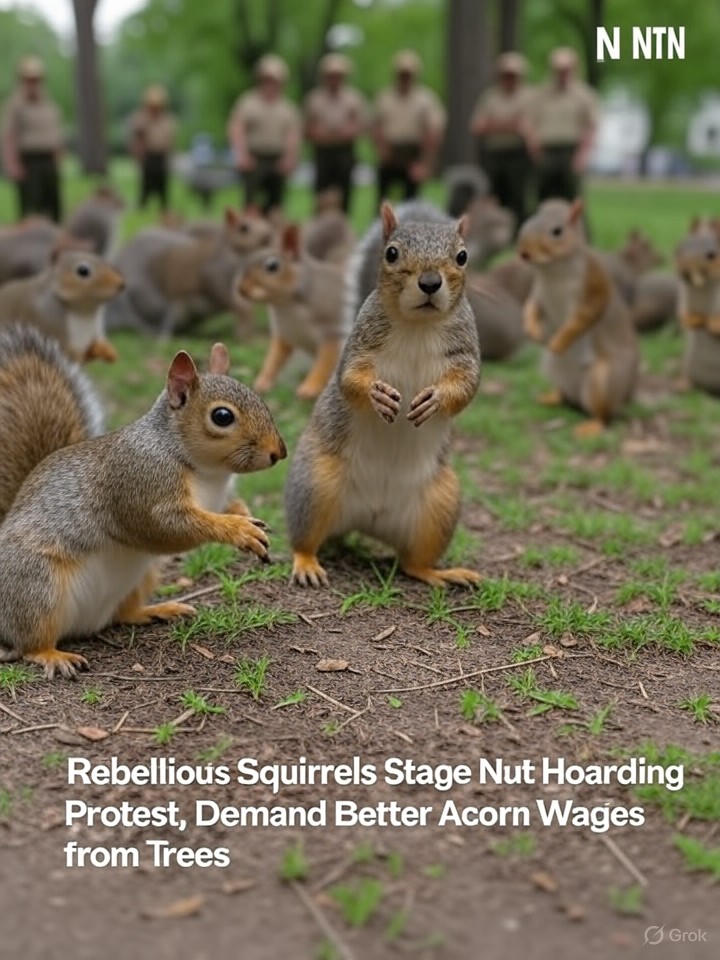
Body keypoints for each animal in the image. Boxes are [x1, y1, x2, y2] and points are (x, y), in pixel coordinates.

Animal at [0, 333, 286, 678]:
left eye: (259, 398)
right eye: (222, 416)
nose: (279, 452)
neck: (209, 472)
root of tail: (83, 624)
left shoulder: (221, 494)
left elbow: (231, 505)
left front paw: (246, 517)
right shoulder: (141, 483)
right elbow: (168, 526)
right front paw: (238, 530)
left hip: (142, 575)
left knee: (122, 614)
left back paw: (157, 610)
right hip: (38, 586)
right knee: (29, 641)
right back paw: (53, 655)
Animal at [237, 223, 347, 399]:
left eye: (272, 266)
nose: (242, 289)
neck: (285, 305)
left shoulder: (331, 329)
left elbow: (324, 362)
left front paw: (309, 387)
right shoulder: (285, 333)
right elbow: (274, 358)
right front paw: (262, 381)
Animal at [285, 202, 480, 589]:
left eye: (462, 256)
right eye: (391, 253)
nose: (430, 282)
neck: (418, 326)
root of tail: (369, 517)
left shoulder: (465, 354)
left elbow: (466, 388)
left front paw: (435, 399)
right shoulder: (358, 346)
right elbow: (350, 380)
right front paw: (377, 395)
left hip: (439, 506)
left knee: (412, 563)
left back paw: (441, 573)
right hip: (314, 485)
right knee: (305, 539)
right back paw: (306, 563)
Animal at [517, 198, 639, 436]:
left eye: (557, 231)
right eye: (528, 221)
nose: (524, 253)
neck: (553, 269)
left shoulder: (593, 287)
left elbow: (580, 320)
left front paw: (559, 341)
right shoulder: (539, 292)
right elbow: (531, 306)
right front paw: (531, 329)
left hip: (602, 381)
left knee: (604, 415)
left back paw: (591, 426)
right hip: (552, 368)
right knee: (564, 395)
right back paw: (550, 397)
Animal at [675, 218, 720, 395]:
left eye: (711, 255)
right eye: (678, 249)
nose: (685, 272)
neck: (702, 286)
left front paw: (714, 323)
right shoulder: (684, 296)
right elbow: (683, 313)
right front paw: (691, 319)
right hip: (687, 359)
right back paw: (683, 383)